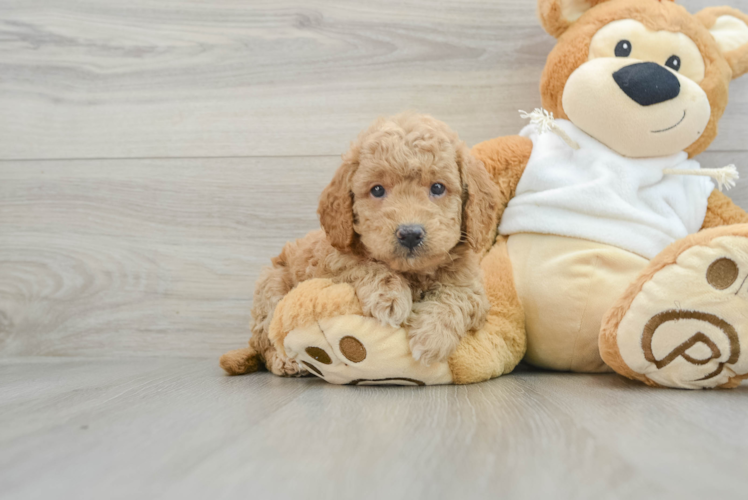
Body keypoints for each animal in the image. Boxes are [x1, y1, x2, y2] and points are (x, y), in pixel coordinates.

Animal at [240, 111, 500, 374]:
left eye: (437, 187)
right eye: (377, 190)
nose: (410, 234)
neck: (413, 273)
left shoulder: (472, 288)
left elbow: (456, 297)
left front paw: (432, 337)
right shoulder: (332, 262)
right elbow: (365, 265)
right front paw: (389, 297)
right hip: (270, 291)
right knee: (265, 340)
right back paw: (287, 361)